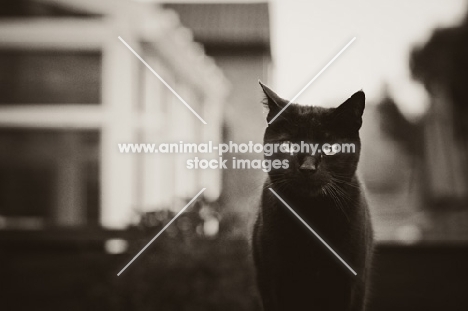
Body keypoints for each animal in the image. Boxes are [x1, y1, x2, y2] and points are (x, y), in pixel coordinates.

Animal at [252, 81, 372, 310]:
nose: (307, 167)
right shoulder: (272, 281)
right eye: (289, 145)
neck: (311, 214)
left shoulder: (353, 282)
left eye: (330, 148)